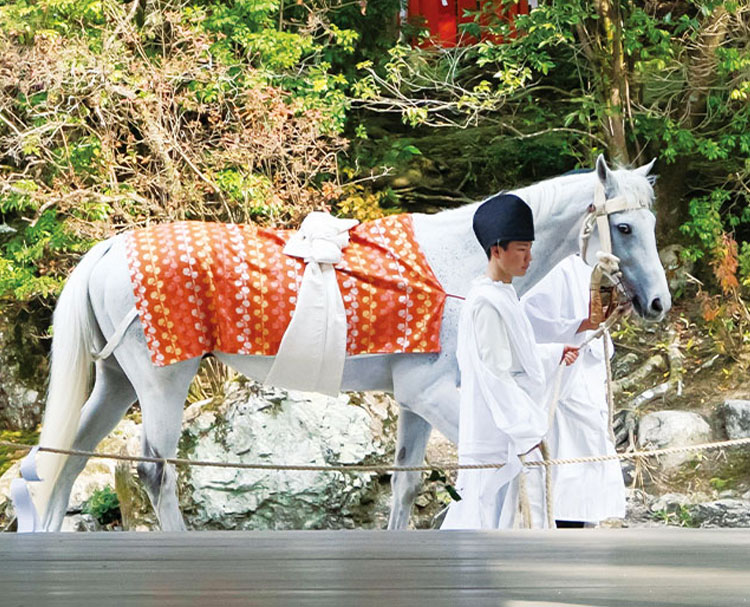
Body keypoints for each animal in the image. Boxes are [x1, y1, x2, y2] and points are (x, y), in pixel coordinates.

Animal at [19, 154, 670, 531]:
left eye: (651, 223)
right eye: (624, 226)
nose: (659, 303)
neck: (462, 265)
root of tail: (110, 249)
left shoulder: (413, 397)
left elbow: (406, 484)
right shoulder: (433, 391)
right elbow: (514, 461)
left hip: (116, 381)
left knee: (63, 462)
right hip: (162, 379)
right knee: (155, 474)